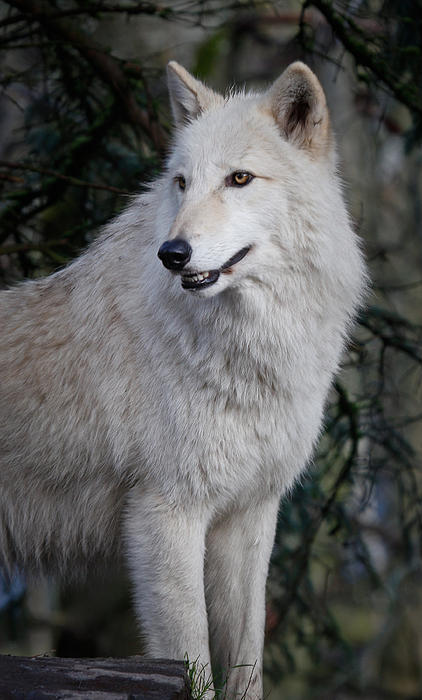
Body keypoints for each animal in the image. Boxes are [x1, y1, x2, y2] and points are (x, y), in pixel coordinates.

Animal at [0, 63, 366, 696]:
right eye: (181, 182)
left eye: (239, 178)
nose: (173, 253)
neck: (242, 355)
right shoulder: (165, 515)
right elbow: (192, 661)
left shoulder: (250, 516)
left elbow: (247, 661)